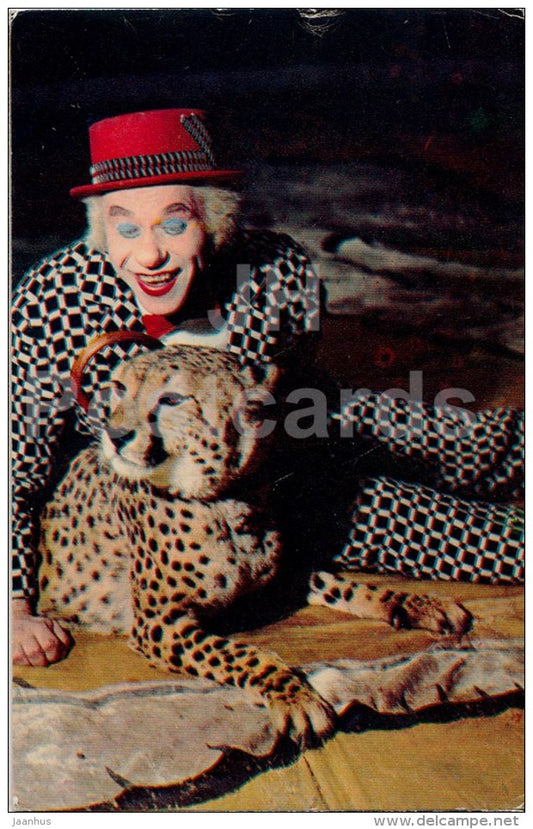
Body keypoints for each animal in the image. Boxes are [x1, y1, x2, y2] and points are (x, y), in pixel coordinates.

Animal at [37, 344, 472, 748]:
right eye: (119, 388)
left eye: (172, 399)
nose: (115, 436)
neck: (226, 499)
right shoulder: (158, 623)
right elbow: (245, 654)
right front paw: (296, 696)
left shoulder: (281, 574)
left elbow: (345, 585)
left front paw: (416, 603)